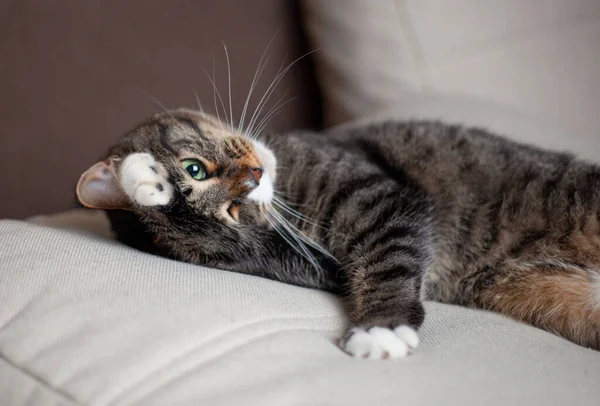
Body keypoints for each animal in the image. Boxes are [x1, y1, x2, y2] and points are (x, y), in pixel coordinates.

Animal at [76, 108, 600, 358]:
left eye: (194, 168)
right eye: (232, 213)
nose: (254, 180)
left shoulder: (383, 196)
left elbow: (388, 260)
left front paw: (380, 328)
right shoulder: (312, 260)